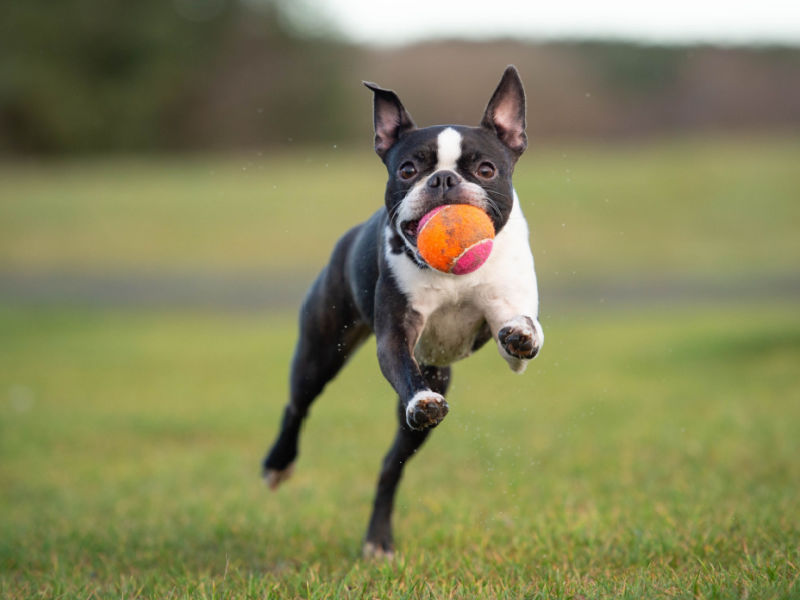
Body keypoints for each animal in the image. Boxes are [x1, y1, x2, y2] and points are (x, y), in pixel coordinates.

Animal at [262, 65, 544, 556]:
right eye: (408, 169)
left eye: (486, 169)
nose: (443, 180)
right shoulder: (396, 336)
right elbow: (403, 368)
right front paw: (422, 400)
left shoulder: (509, 313)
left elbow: (521, 331)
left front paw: (521, 334)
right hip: (321, 351)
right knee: (298, 404)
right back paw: (279, 464)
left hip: (424, 398)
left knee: (390, 467)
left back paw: (379, 539)